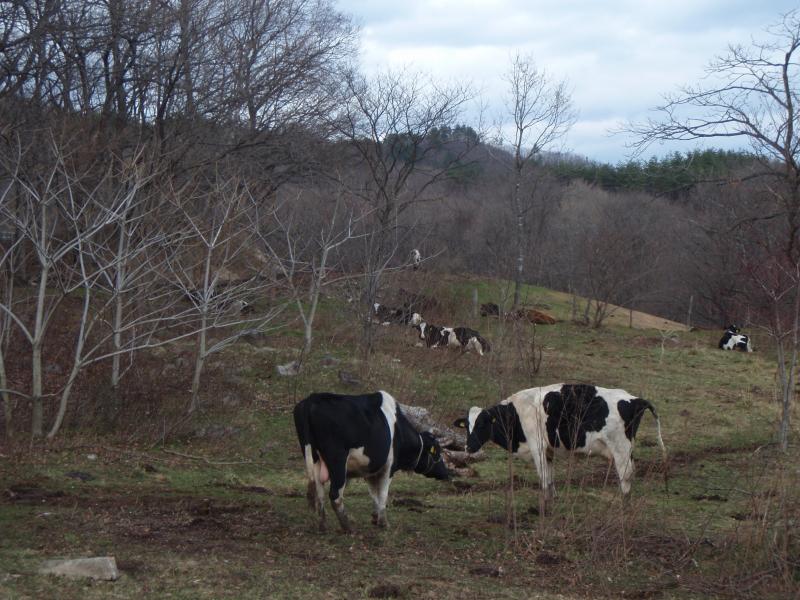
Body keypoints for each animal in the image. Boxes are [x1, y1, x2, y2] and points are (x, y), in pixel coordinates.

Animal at [292, 392, 450, 532]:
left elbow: (373, 493)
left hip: (314, 458)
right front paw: (383, 523)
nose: (447, 473)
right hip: (337, 460)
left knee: (318, 492)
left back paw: (323, 525)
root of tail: (312, 398)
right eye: (438, 452)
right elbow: (383, 494)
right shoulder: (388, 467)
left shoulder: (370, 469)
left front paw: (375, 517)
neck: (398, 430)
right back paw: (348, 527)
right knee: (335, 495)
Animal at [456, 384, 668, 510]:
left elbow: (543, 478)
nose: (468, 447)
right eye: (466, 426)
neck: (517, 411)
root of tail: (635, 398)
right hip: (627, 448)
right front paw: (551, 501)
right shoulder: (548, 451)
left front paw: (544, 507)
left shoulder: (537, 447)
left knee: (626, 475)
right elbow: (549, 478)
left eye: (482, 424)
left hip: (621, 448)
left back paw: (623, 507)